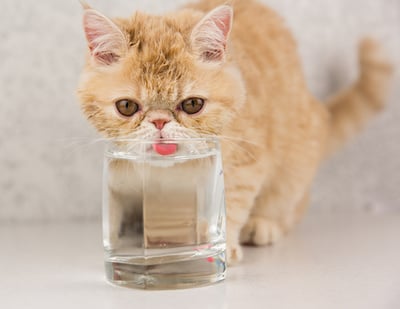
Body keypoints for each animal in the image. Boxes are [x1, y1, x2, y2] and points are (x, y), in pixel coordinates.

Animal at [76, 0, 392, 264]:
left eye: (192, 105)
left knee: (290, 204)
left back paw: (263, 224)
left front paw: (221, 245)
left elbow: (234, 200)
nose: (160, 122)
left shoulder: (247, 158)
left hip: (296, 162)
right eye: (127, 106)